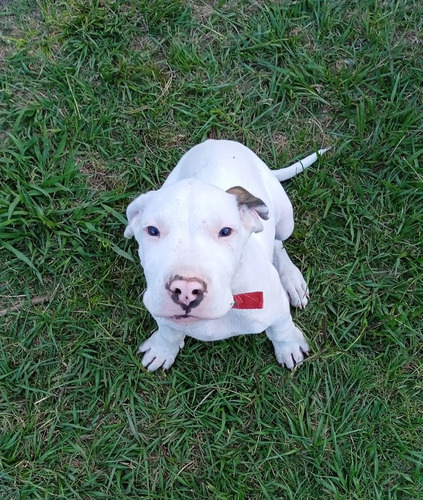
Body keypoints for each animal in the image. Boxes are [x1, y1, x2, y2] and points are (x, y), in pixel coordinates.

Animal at [124, 140, 330, 372]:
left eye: (225, 231)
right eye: (152, 230)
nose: (185, 290)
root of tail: (218, 141)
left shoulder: (277, 308)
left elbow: (282, 329)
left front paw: (289, 347)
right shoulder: (162, 311)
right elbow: (169, 333)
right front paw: (162, 349)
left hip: (286, 220)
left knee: (278, 243)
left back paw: (292, 281)